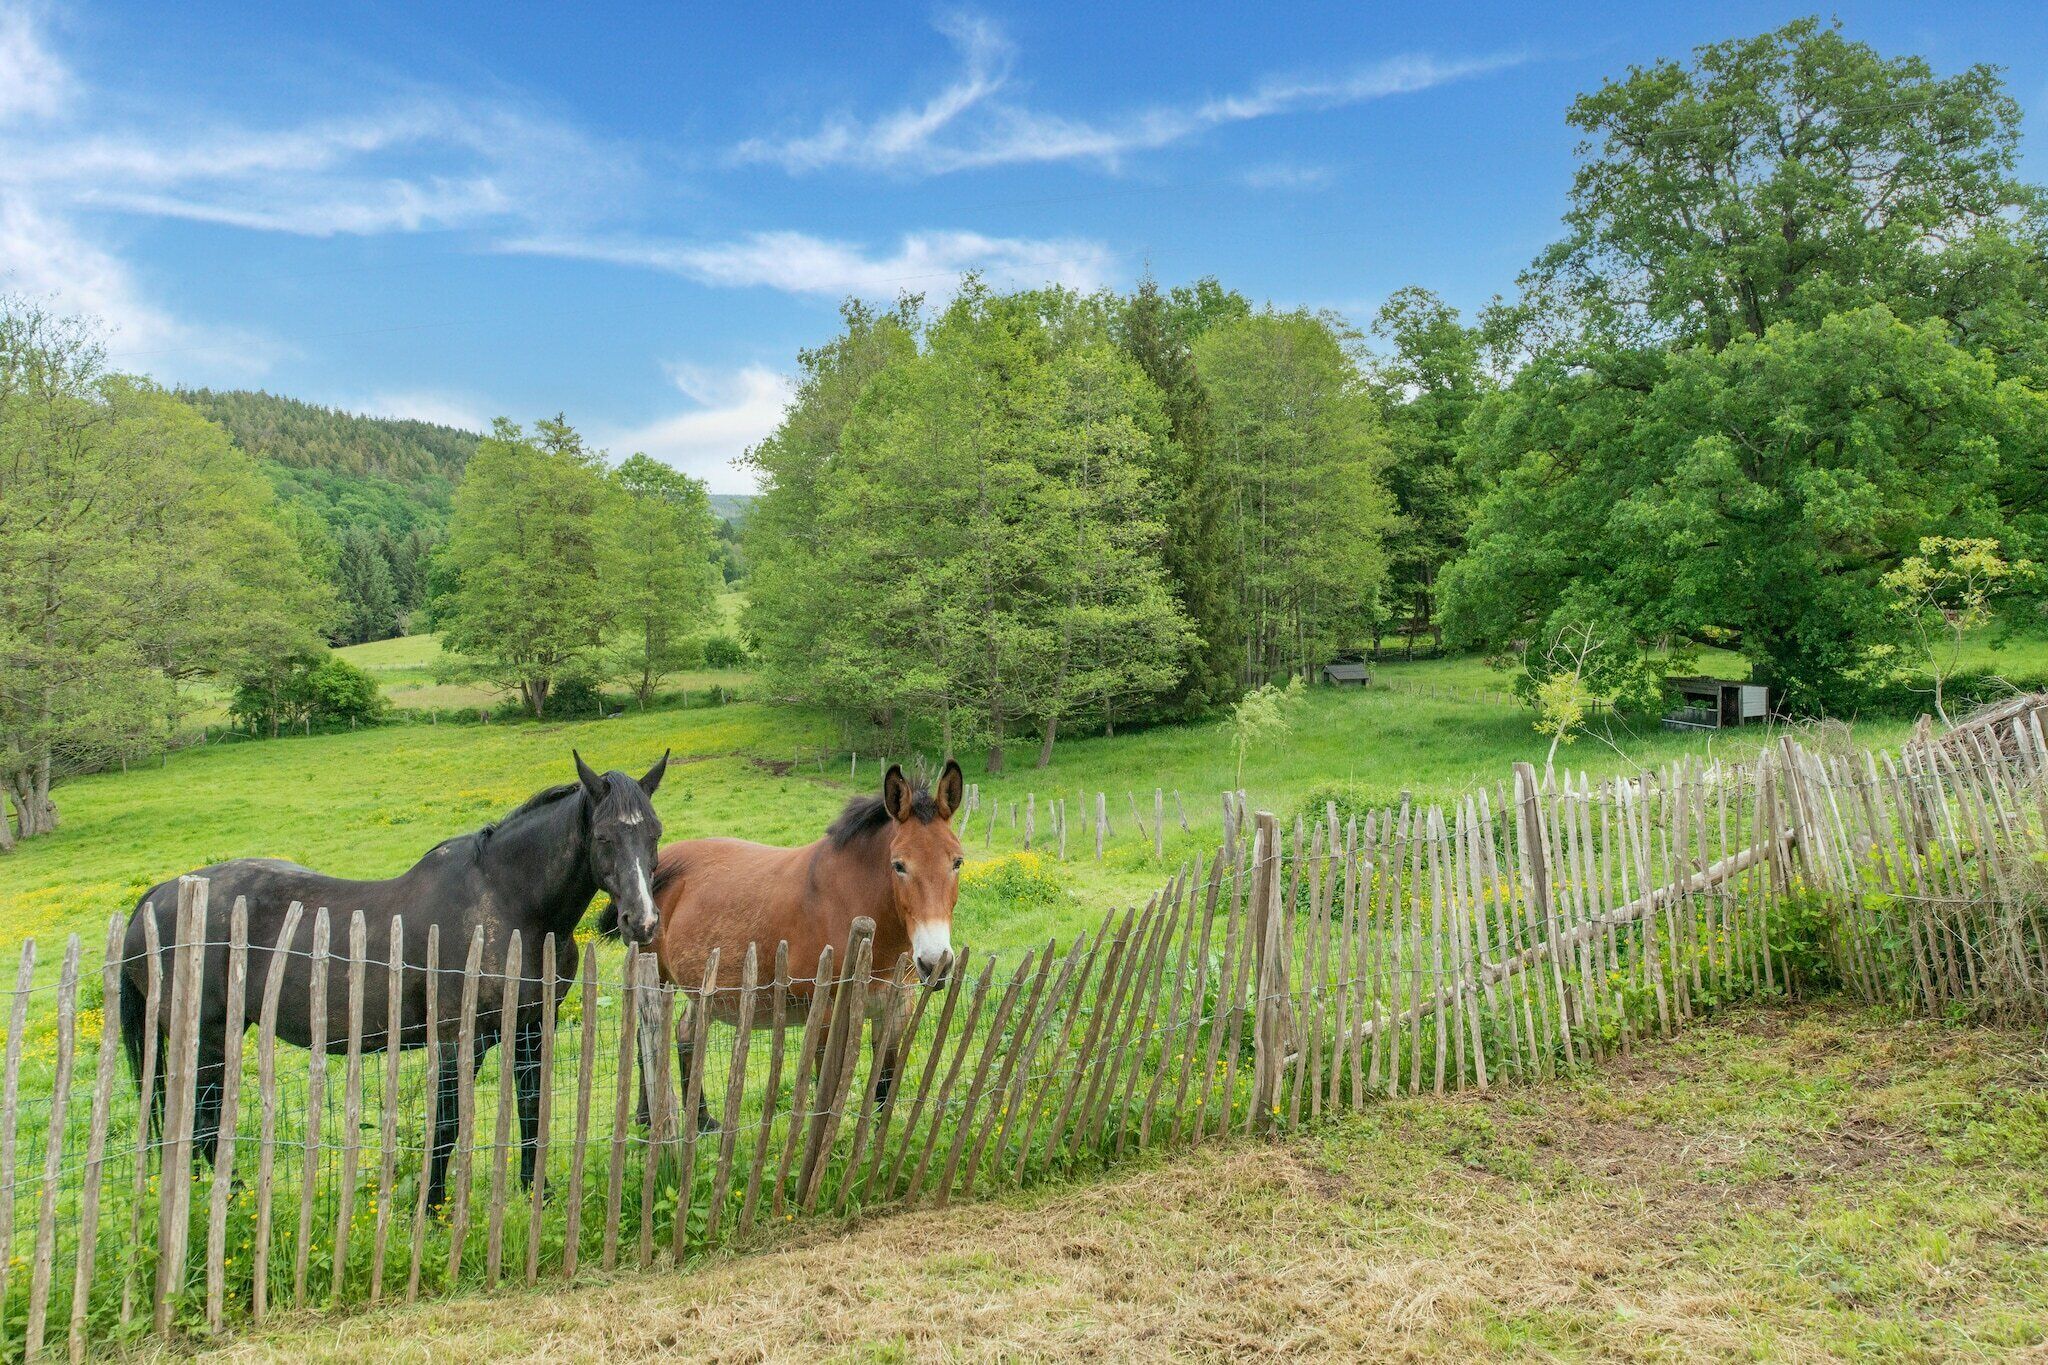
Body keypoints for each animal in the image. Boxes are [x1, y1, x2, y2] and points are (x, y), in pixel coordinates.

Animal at [120, 751, 669, 1209]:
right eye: (603, 837)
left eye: (654, 834)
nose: (641, 921)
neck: (508, 902)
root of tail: (157, 895)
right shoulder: (457, 1038)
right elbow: (446, 1122)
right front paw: (431, 1207)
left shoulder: (530, 1029)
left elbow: (532, 1112)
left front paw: (539, 1195)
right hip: (209, 1037)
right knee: (204, 1122)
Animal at [609, 760, 964, 1128]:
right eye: (899, 866)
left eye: (957, 862)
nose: (935, 962)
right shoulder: (825, 1015)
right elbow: (826, 1093)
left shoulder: (896, 1008)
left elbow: (883, 1087)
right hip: (655, 975)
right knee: (646, 1039)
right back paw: (646, 1117)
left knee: (685, 1034)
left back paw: (703, 1119)